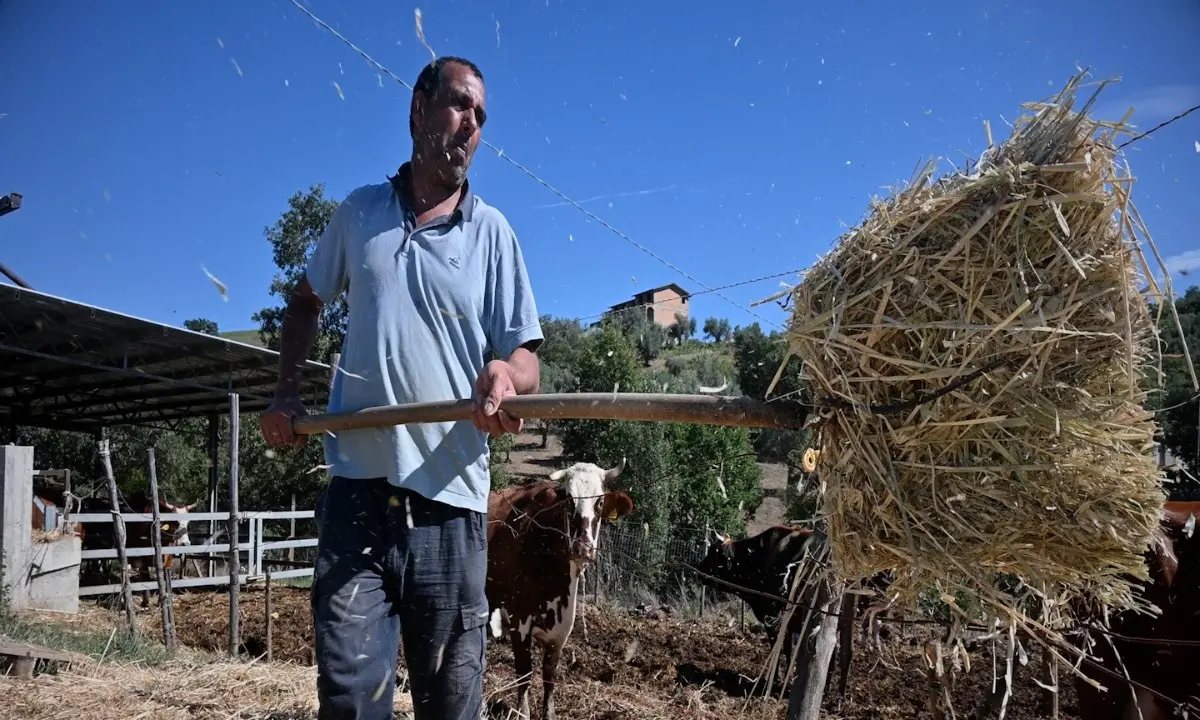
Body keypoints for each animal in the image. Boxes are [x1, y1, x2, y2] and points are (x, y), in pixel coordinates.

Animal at [487, 460, 638, 720]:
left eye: (600, 502)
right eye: (569, 500)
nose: (583, 548)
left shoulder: (562, 628)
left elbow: (550, 676)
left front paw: (549, 713)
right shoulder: (518, 619)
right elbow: (524, 673)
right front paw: (523, 712)